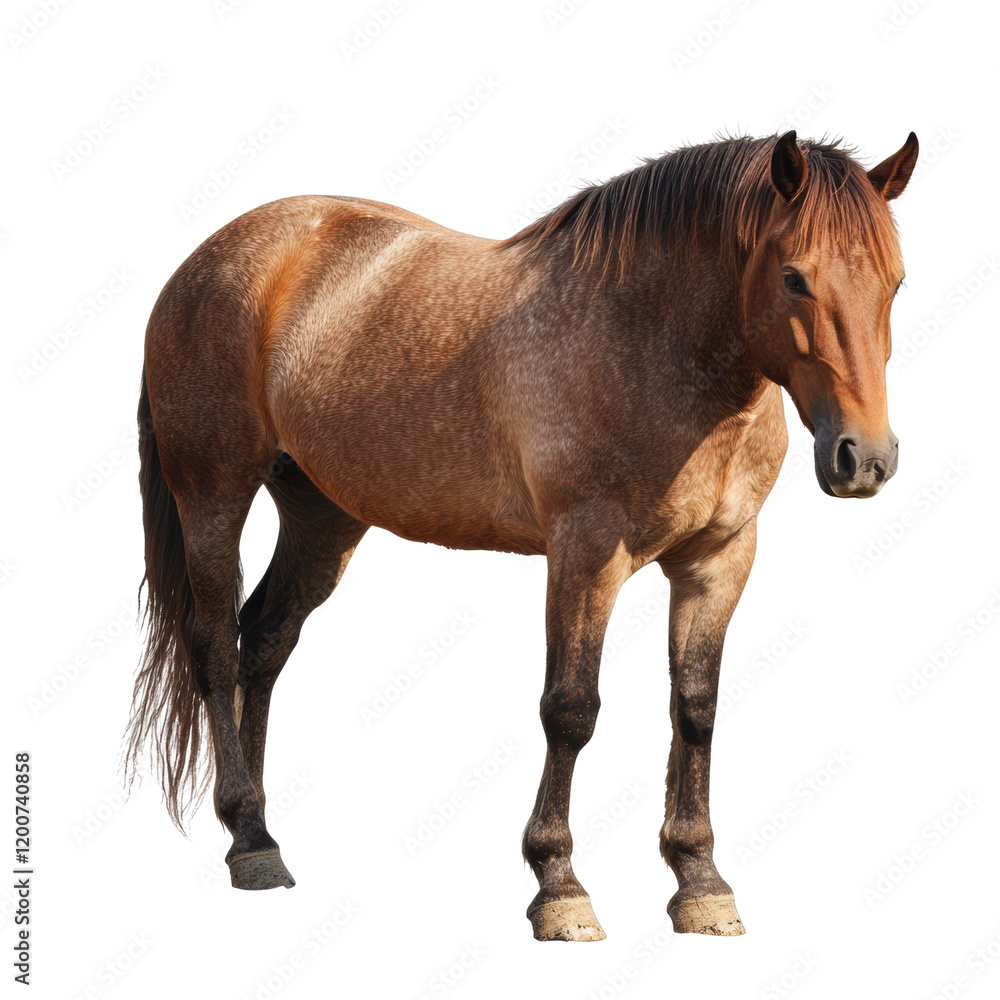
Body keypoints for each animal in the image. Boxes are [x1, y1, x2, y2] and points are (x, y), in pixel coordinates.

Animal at [126, 129, 917, 941]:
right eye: (794, 278)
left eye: (895, 283)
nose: (865, 458)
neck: (648, 340)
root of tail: (208, 258)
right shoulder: (585, 553)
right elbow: (570, 710)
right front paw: (559, 886)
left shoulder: (719, 560)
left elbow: (696, 707)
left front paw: (700, 881)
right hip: (213, 493)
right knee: (217, 645)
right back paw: (246, 843)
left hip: (323, 517)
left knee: (265, 642)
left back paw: (260, 837)